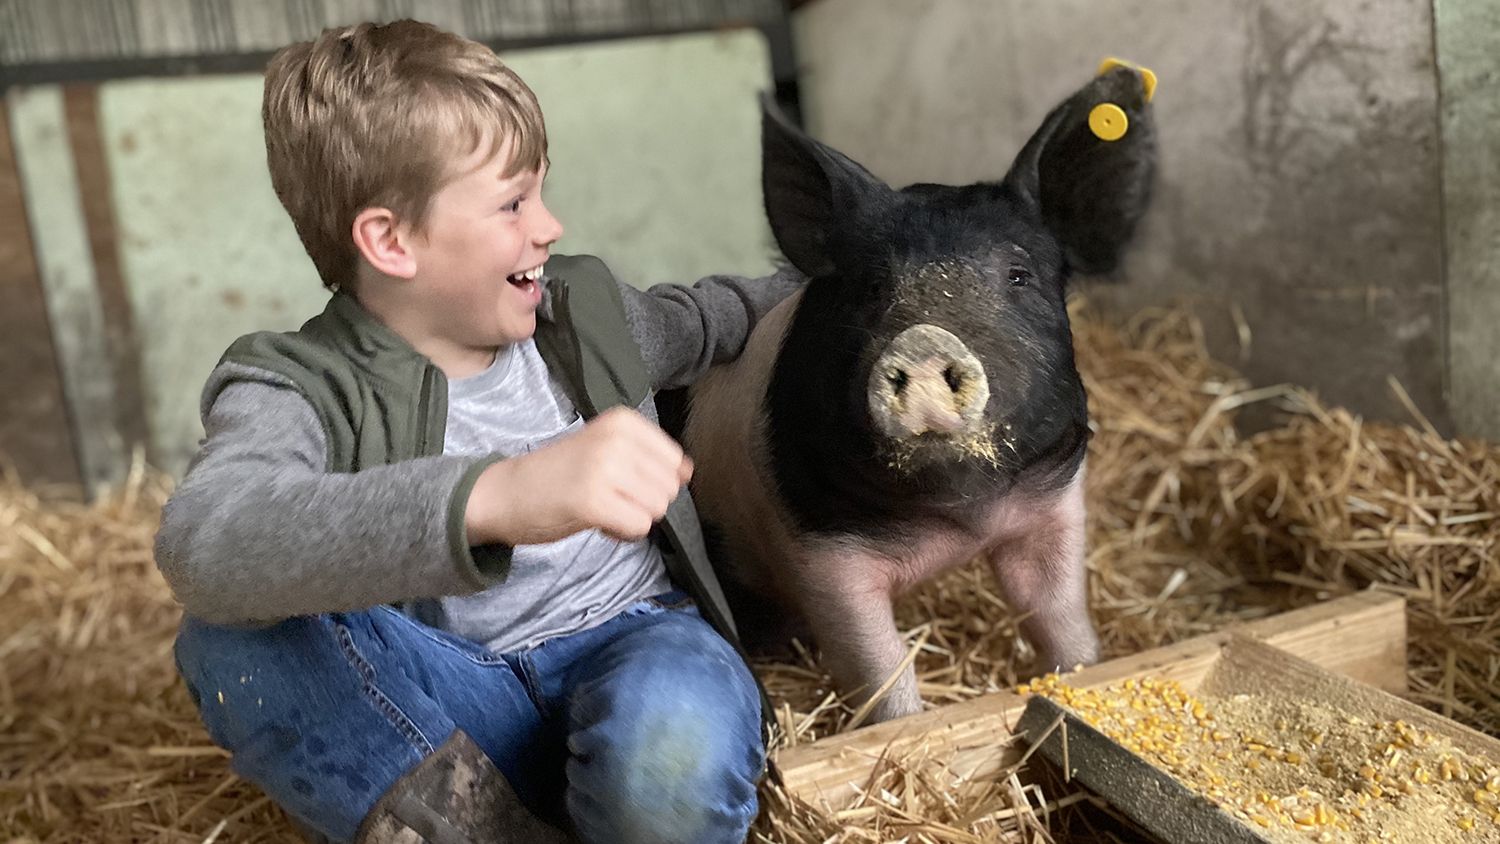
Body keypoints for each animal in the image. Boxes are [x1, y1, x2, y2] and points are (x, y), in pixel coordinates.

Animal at [681, 65, 1158, 725]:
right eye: (871, 286)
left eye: (1019, 276)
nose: (926, 339)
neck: (959, 521)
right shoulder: (822, 552)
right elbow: (879, 672)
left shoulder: (1055, 500)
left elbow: (1060, 619)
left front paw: (1085, 673)